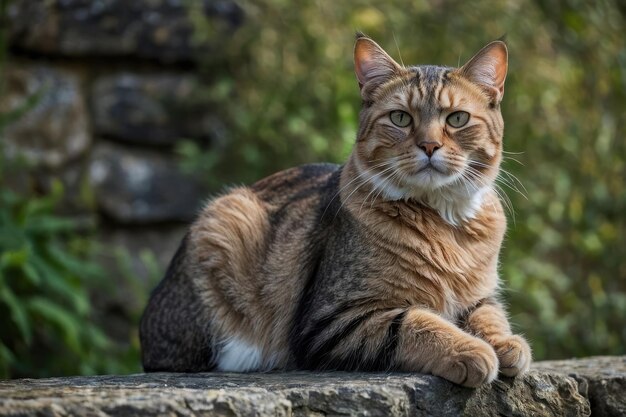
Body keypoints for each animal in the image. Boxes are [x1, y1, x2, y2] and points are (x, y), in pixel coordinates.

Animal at [141, 33, 532, 386]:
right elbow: (413, 322)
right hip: (225, 223)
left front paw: (506, 345)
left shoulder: (479, 296)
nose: (429, 145)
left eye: (457, 119)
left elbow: (490, 314)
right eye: (400, 118)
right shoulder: (332, 321)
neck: (443, 223)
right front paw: (471, 350)